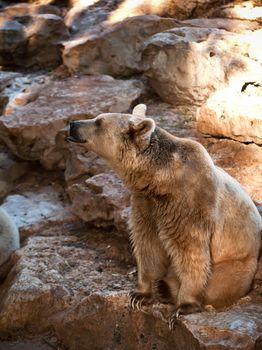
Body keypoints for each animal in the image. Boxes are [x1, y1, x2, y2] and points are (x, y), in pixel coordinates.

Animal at [68, 103, 262, 328]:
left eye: (98, 122)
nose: (73, 124)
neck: (162, 179)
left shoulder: (189, 203)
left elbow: (190, 250)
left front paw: (183, 306)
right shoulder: (146, 204)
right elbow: (147, 244)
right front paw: (140, 294)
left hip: (237, 264)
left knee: (220, 283)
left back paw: (167, 288)